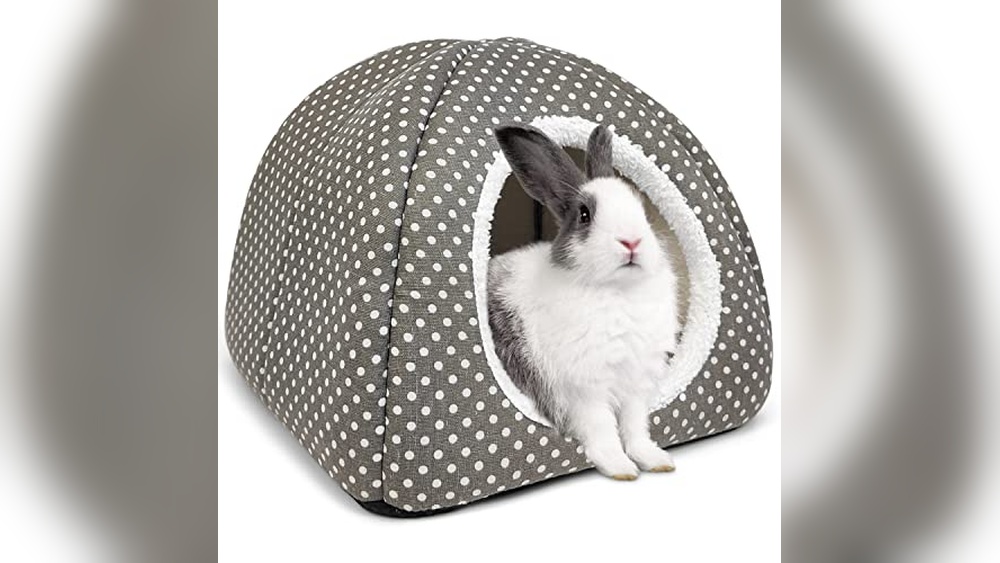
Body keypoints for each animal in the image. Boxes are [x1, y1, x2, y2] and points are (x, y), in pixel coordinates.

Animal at [488, 123, 680, 480]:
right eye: (584, 215)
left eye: (642, 209)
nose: (631, 241)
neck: (618, 290)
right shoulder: (584, 389)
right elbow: (602, 428)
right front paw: (620, 468)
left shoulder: (635, 385)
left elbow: (635, 427)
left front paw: (656, 460)